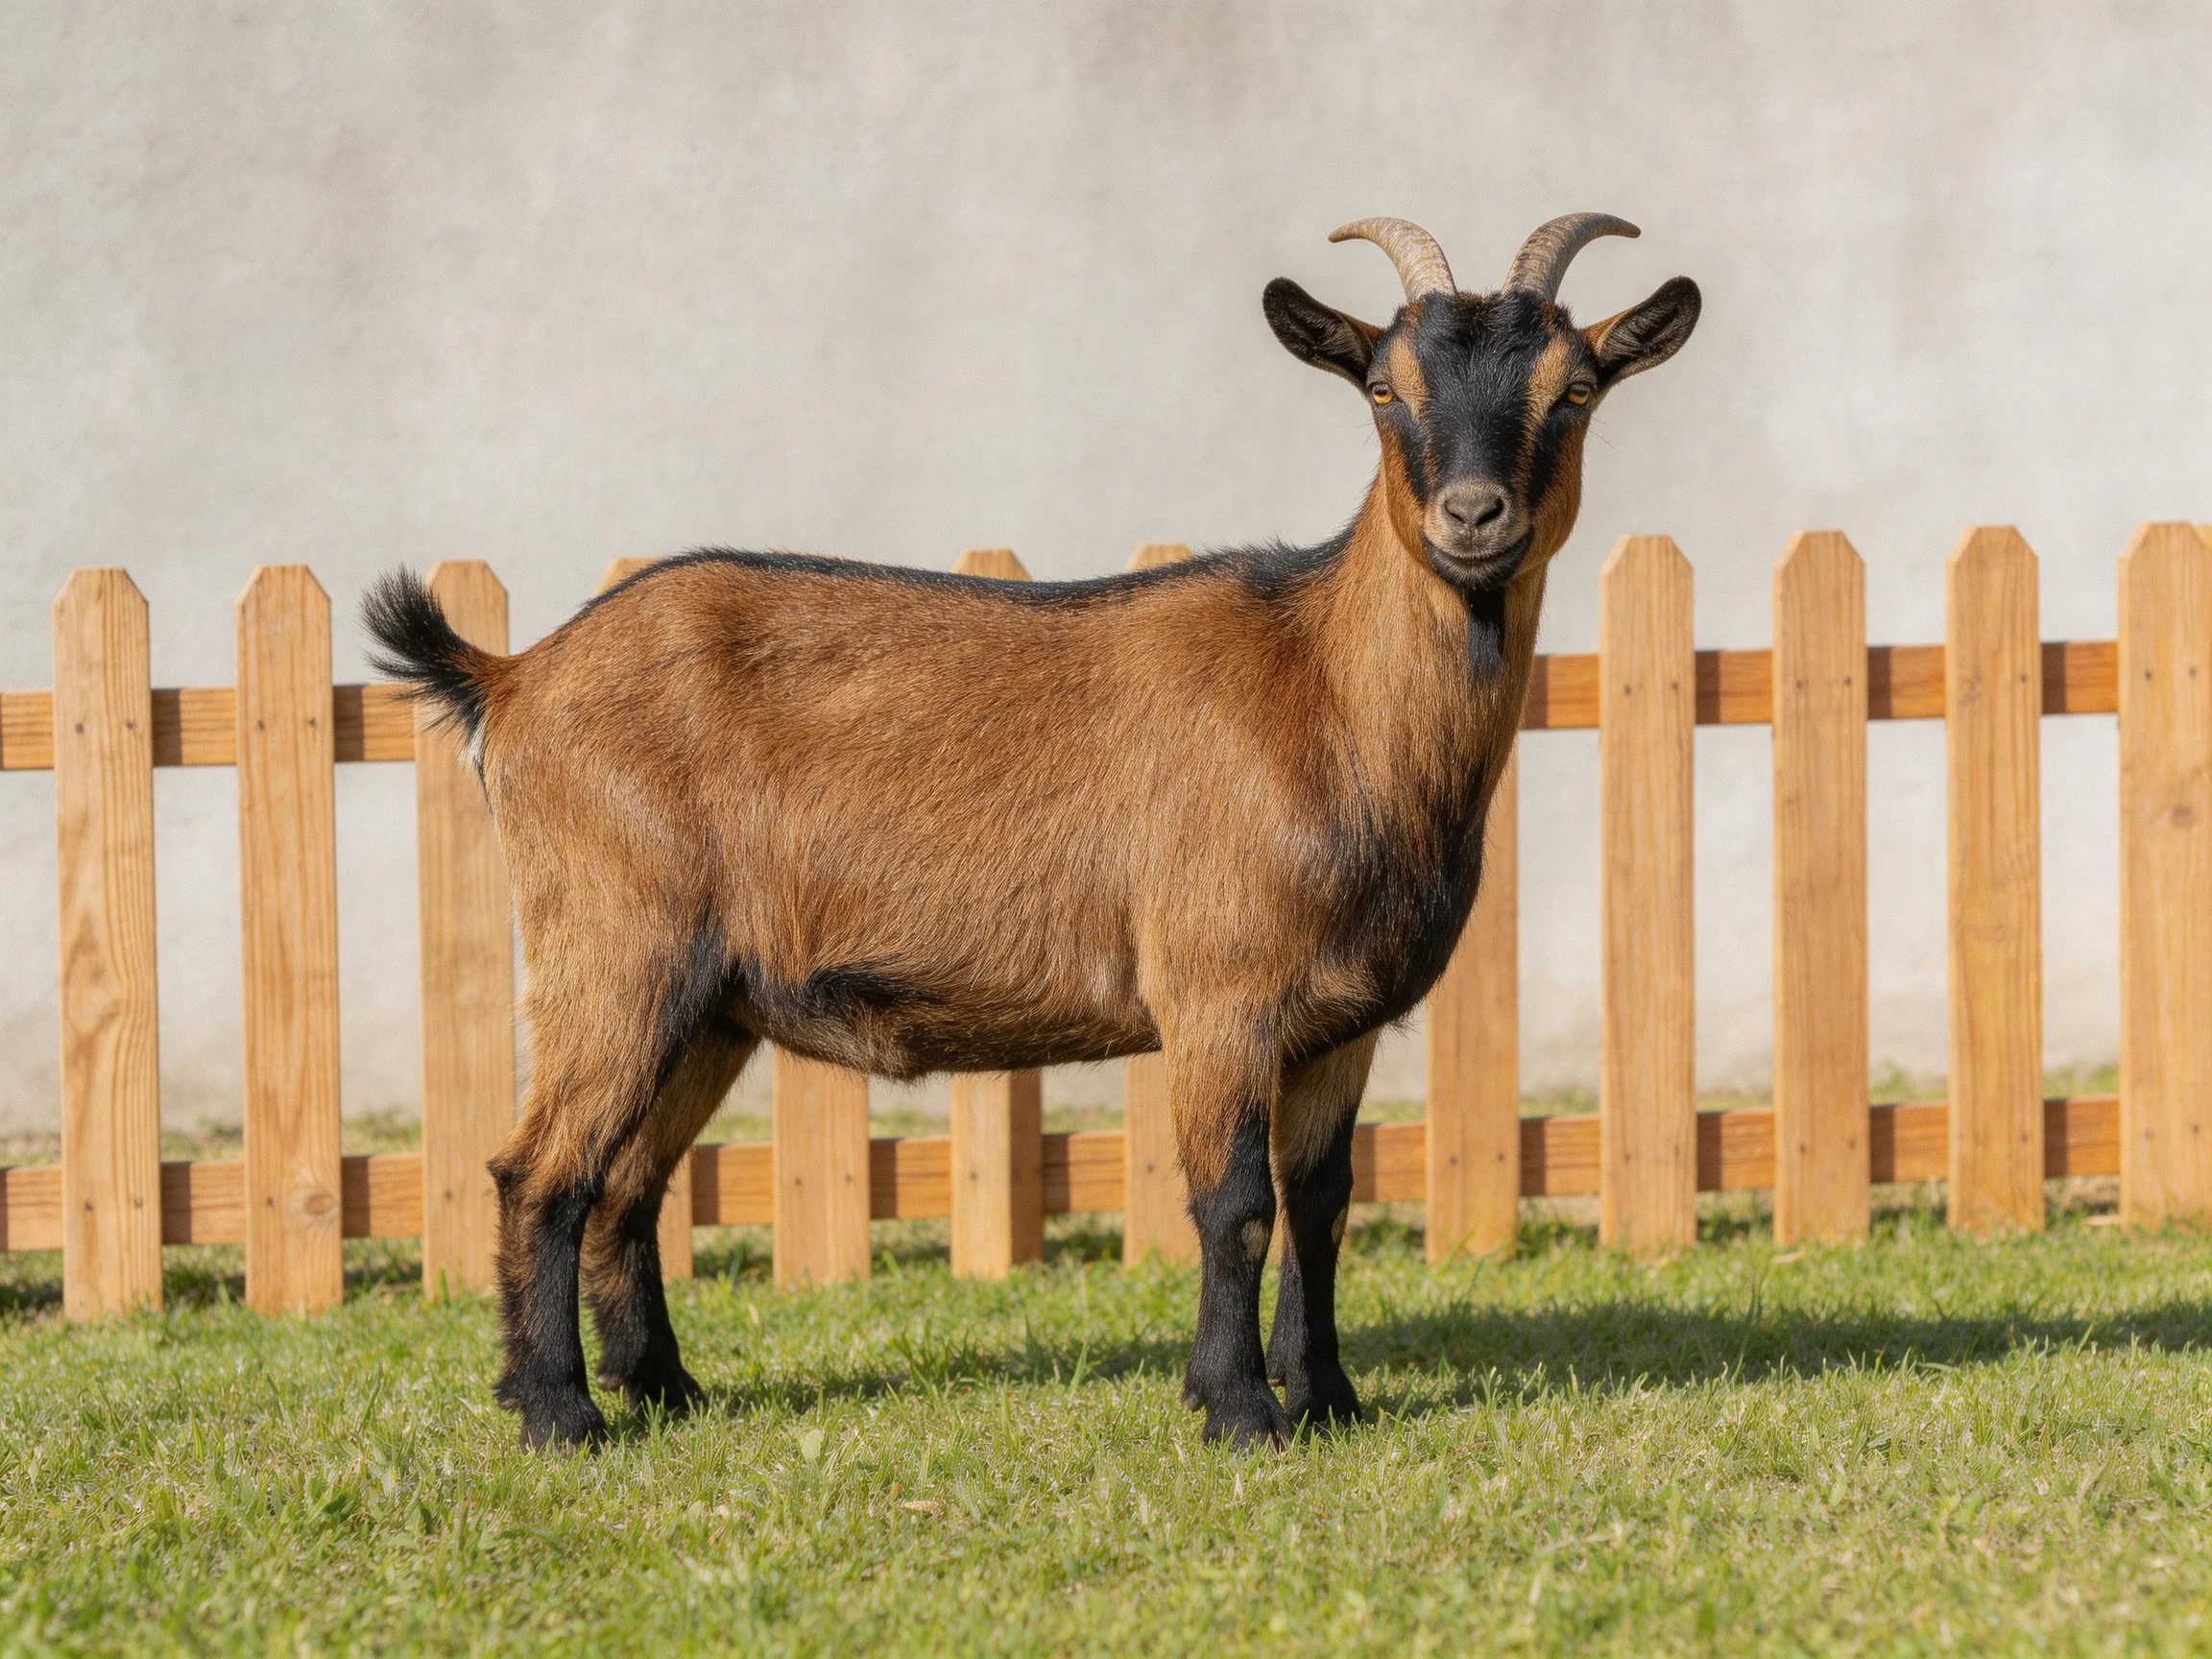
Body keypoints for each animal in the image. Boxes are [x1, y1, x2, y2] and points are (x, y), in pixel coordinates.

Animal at [365, 213, 1700, 1451]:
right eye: (1384, 388)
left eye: (1574, 390)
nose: (1474, 517)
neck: (1325, 691)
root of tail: (513, 678)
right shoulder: (1218, 990)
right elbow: (1234, 1203)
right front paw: (1238, 1411)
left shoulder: (1344, 1019)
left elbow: (1322, 1203)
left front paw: (1328, 1400)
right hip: (615, 946)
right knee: (542, 1171)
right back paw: (560, 1415)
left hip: (711, 1002)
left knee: (630, 1185)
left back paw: (665, 1392)